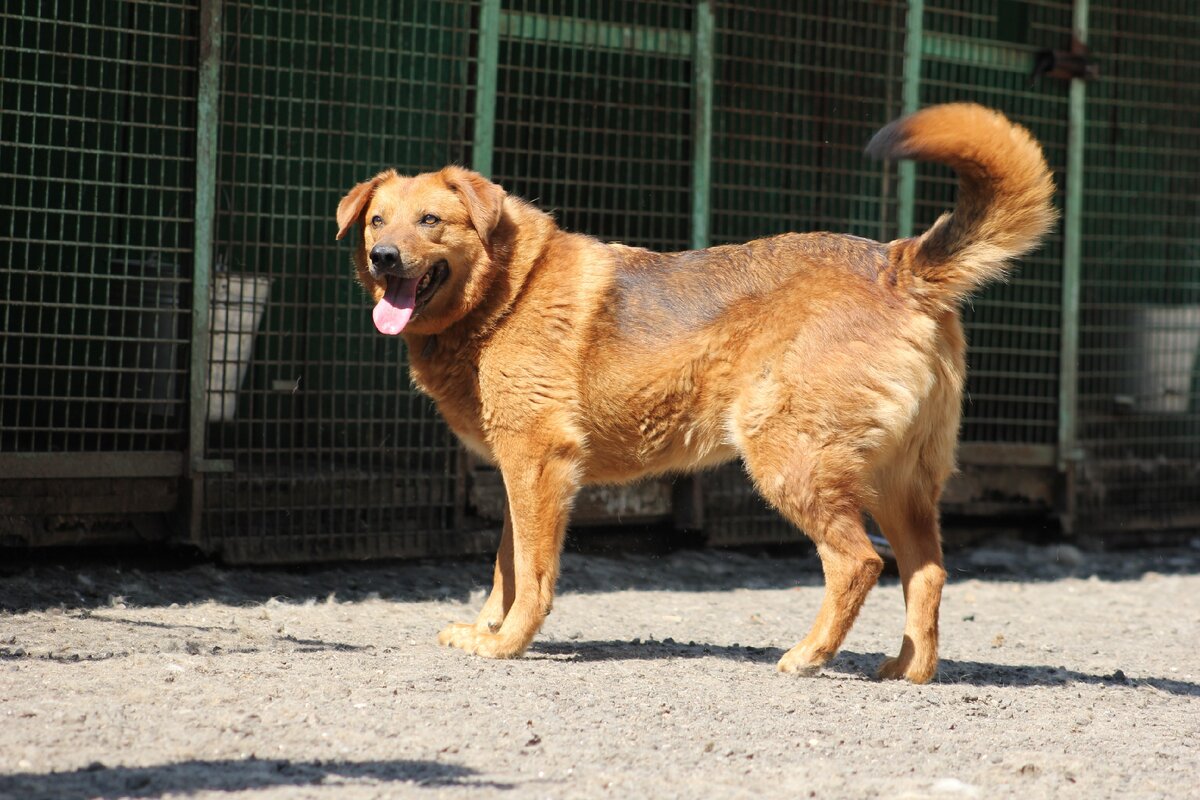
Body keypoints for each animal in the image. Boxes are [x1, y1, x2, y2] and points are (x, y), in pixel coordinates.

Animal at [336, 103, 1051, 686]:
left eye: (432, 220)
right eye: (376, 220)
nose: (383, 257)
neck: (504, 293)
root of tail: (900, 265)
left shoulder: (538, 464)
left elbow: (532, 574)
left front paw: (509, 643)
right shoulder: (519, 474)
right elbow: (505, 567)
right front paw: (485, 629)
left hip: (790, 462)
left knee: (858, 563)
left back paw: (809, 656)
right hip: (897, 482)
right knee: (926, 572)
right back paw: (909, 670)